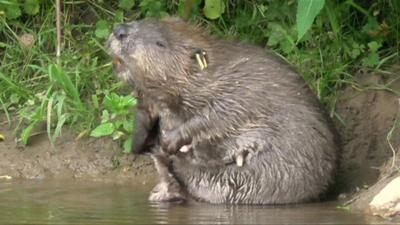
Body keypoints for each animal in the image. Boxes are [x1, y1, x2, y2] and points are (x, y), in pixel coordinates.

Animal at [105, 17, 338, 204]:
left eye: (160, 43)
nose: (120, 30)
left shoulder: (238, 90)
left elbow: (215, 115)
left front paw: (168, 141)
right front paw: (141, 139)